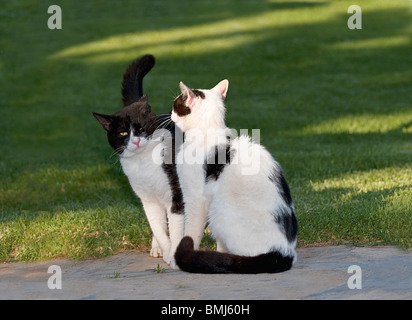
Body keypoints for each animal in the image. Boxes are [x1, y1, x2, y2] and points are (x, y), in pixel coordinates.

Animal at [94, 55, 184, 264]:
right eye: (123, 133)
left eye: (141, 128)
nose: (135, 141)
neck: (144, 164)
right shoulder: (147, 199)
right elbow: (158, 227)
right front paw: (166, 251)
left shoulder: (175, 195)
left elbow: (175, 227)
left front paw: (175, 254)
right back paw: (156, 248)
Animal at [172, 79, 298, 272]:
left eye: (176, 104)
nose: (170, 115)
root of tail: (284, 253)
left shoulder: (196, 199)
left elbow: (191, 232)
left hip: (218, 209)